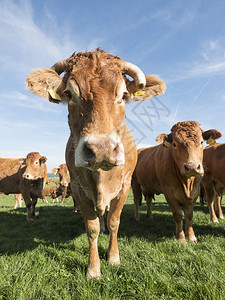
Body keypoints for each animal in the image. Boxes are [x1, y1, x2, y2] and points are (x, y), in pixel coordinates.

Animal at [25, 48, 165, 278]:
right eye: (69, 94)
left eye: (123, 95)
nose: (101, 149)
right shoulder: (77, 187)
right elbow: (92, 227)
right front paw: (93, 268)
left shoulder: (125, 185)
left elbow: (115, 221)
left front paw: (113, 257)